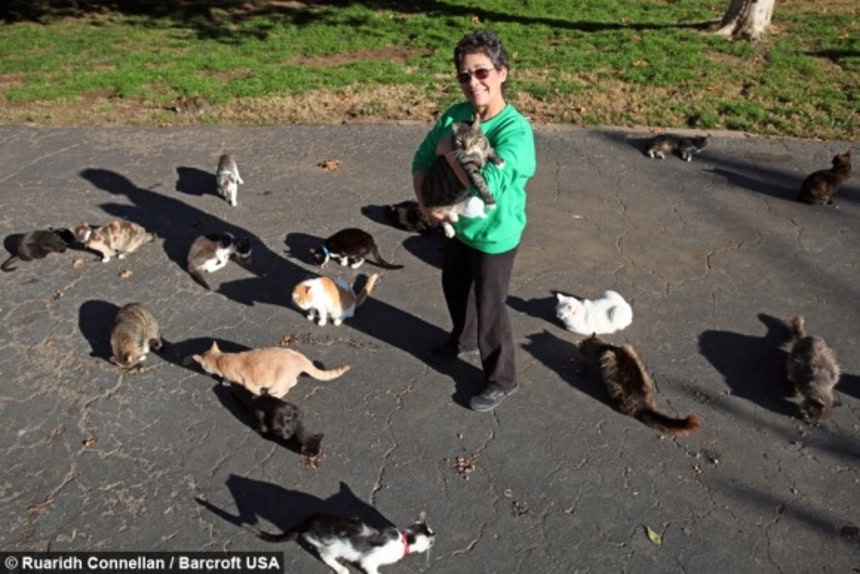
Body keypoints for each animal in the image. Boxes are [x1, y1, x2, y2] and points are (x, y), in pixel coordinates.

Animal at [192, 341, 350, 398]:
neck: (220, 359)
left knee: (285, 388)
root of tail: (300, 357)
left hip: (278, 382)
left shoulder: (251, 385)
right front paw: (225, 381)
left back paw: (275, 395)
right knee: (294, 382)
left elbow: (255, 392)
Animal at [253, 511, 435, 574]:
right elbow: (372, 569)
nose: (435, 536)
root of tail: (310, 521)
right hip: (332, 546)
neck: (403, 540)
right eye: (431, 541)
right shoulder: (369, 560)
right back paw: (341, 569)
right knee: (325, 556)